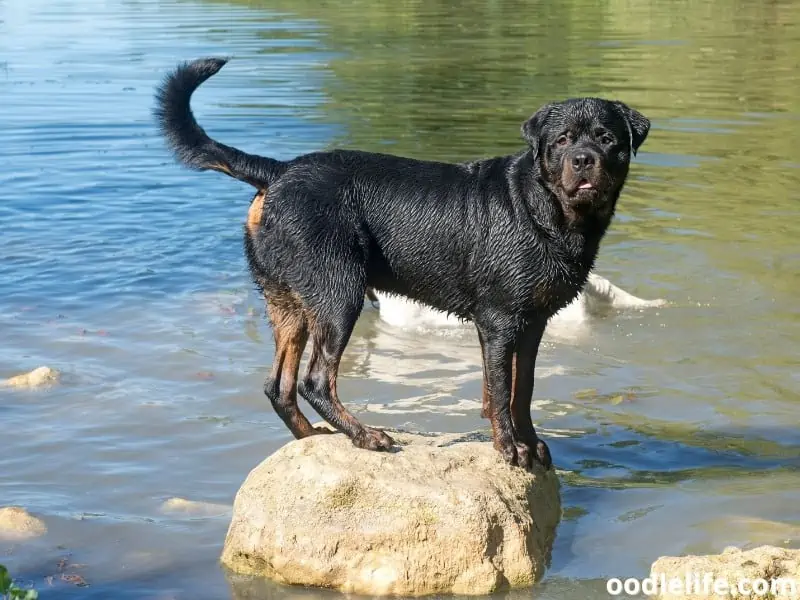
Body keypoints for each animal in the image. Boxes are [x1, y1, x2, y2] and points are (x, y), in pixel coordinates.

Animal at [158, 57, 648, 468]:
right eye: (562, 140)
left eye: (607, 139)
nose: (584, 159)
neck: (546, 211)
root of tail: (278, 171)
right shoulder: (498, 321)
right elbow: (499, 389)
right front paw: (510, 448)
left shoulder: (533, 323)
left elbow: (521, 389)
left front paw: (532, 442)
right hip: (339, 293)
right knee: (315, 380)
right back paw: (364, 435)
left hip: (288, 300)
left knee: (278, 386)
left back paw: (313, 438)